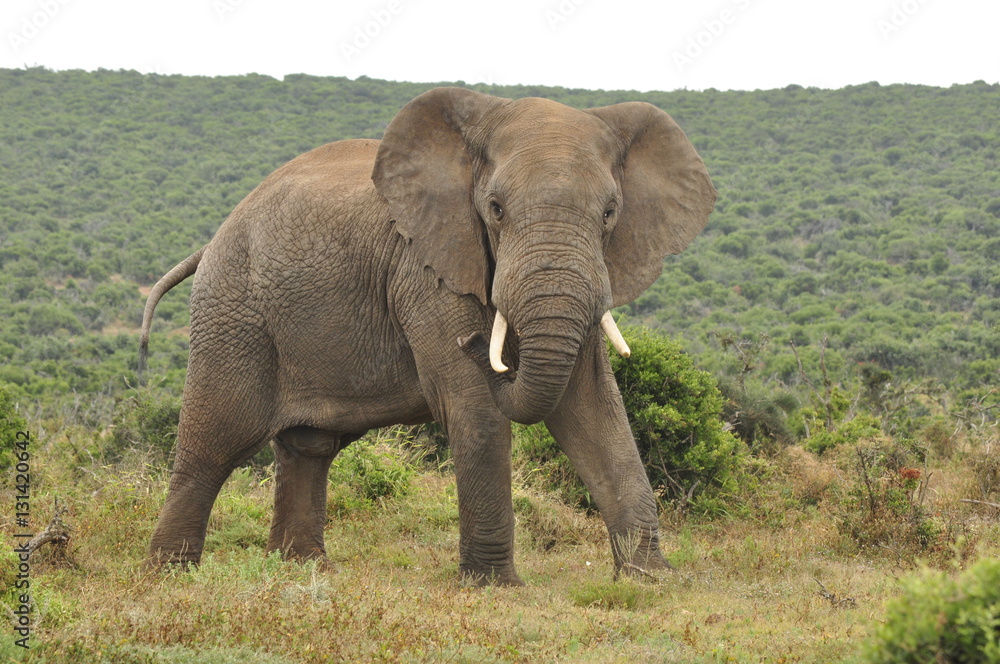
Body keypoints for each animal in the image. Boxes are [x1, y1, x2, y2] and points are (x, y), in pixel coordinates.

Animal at [141, 87, 716, 588]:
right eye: (496, 209)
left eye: (609, 213)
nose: (478, 345)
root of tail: (213, 239)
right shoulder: (424, 268)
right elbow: (477, 408)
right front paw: (495, 588)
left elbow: (594, 406)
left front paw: (653, 581)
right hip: (233, 311)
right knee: (215, 443)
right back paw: (171, 578)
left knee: (309, 446)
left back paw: (304, 571)